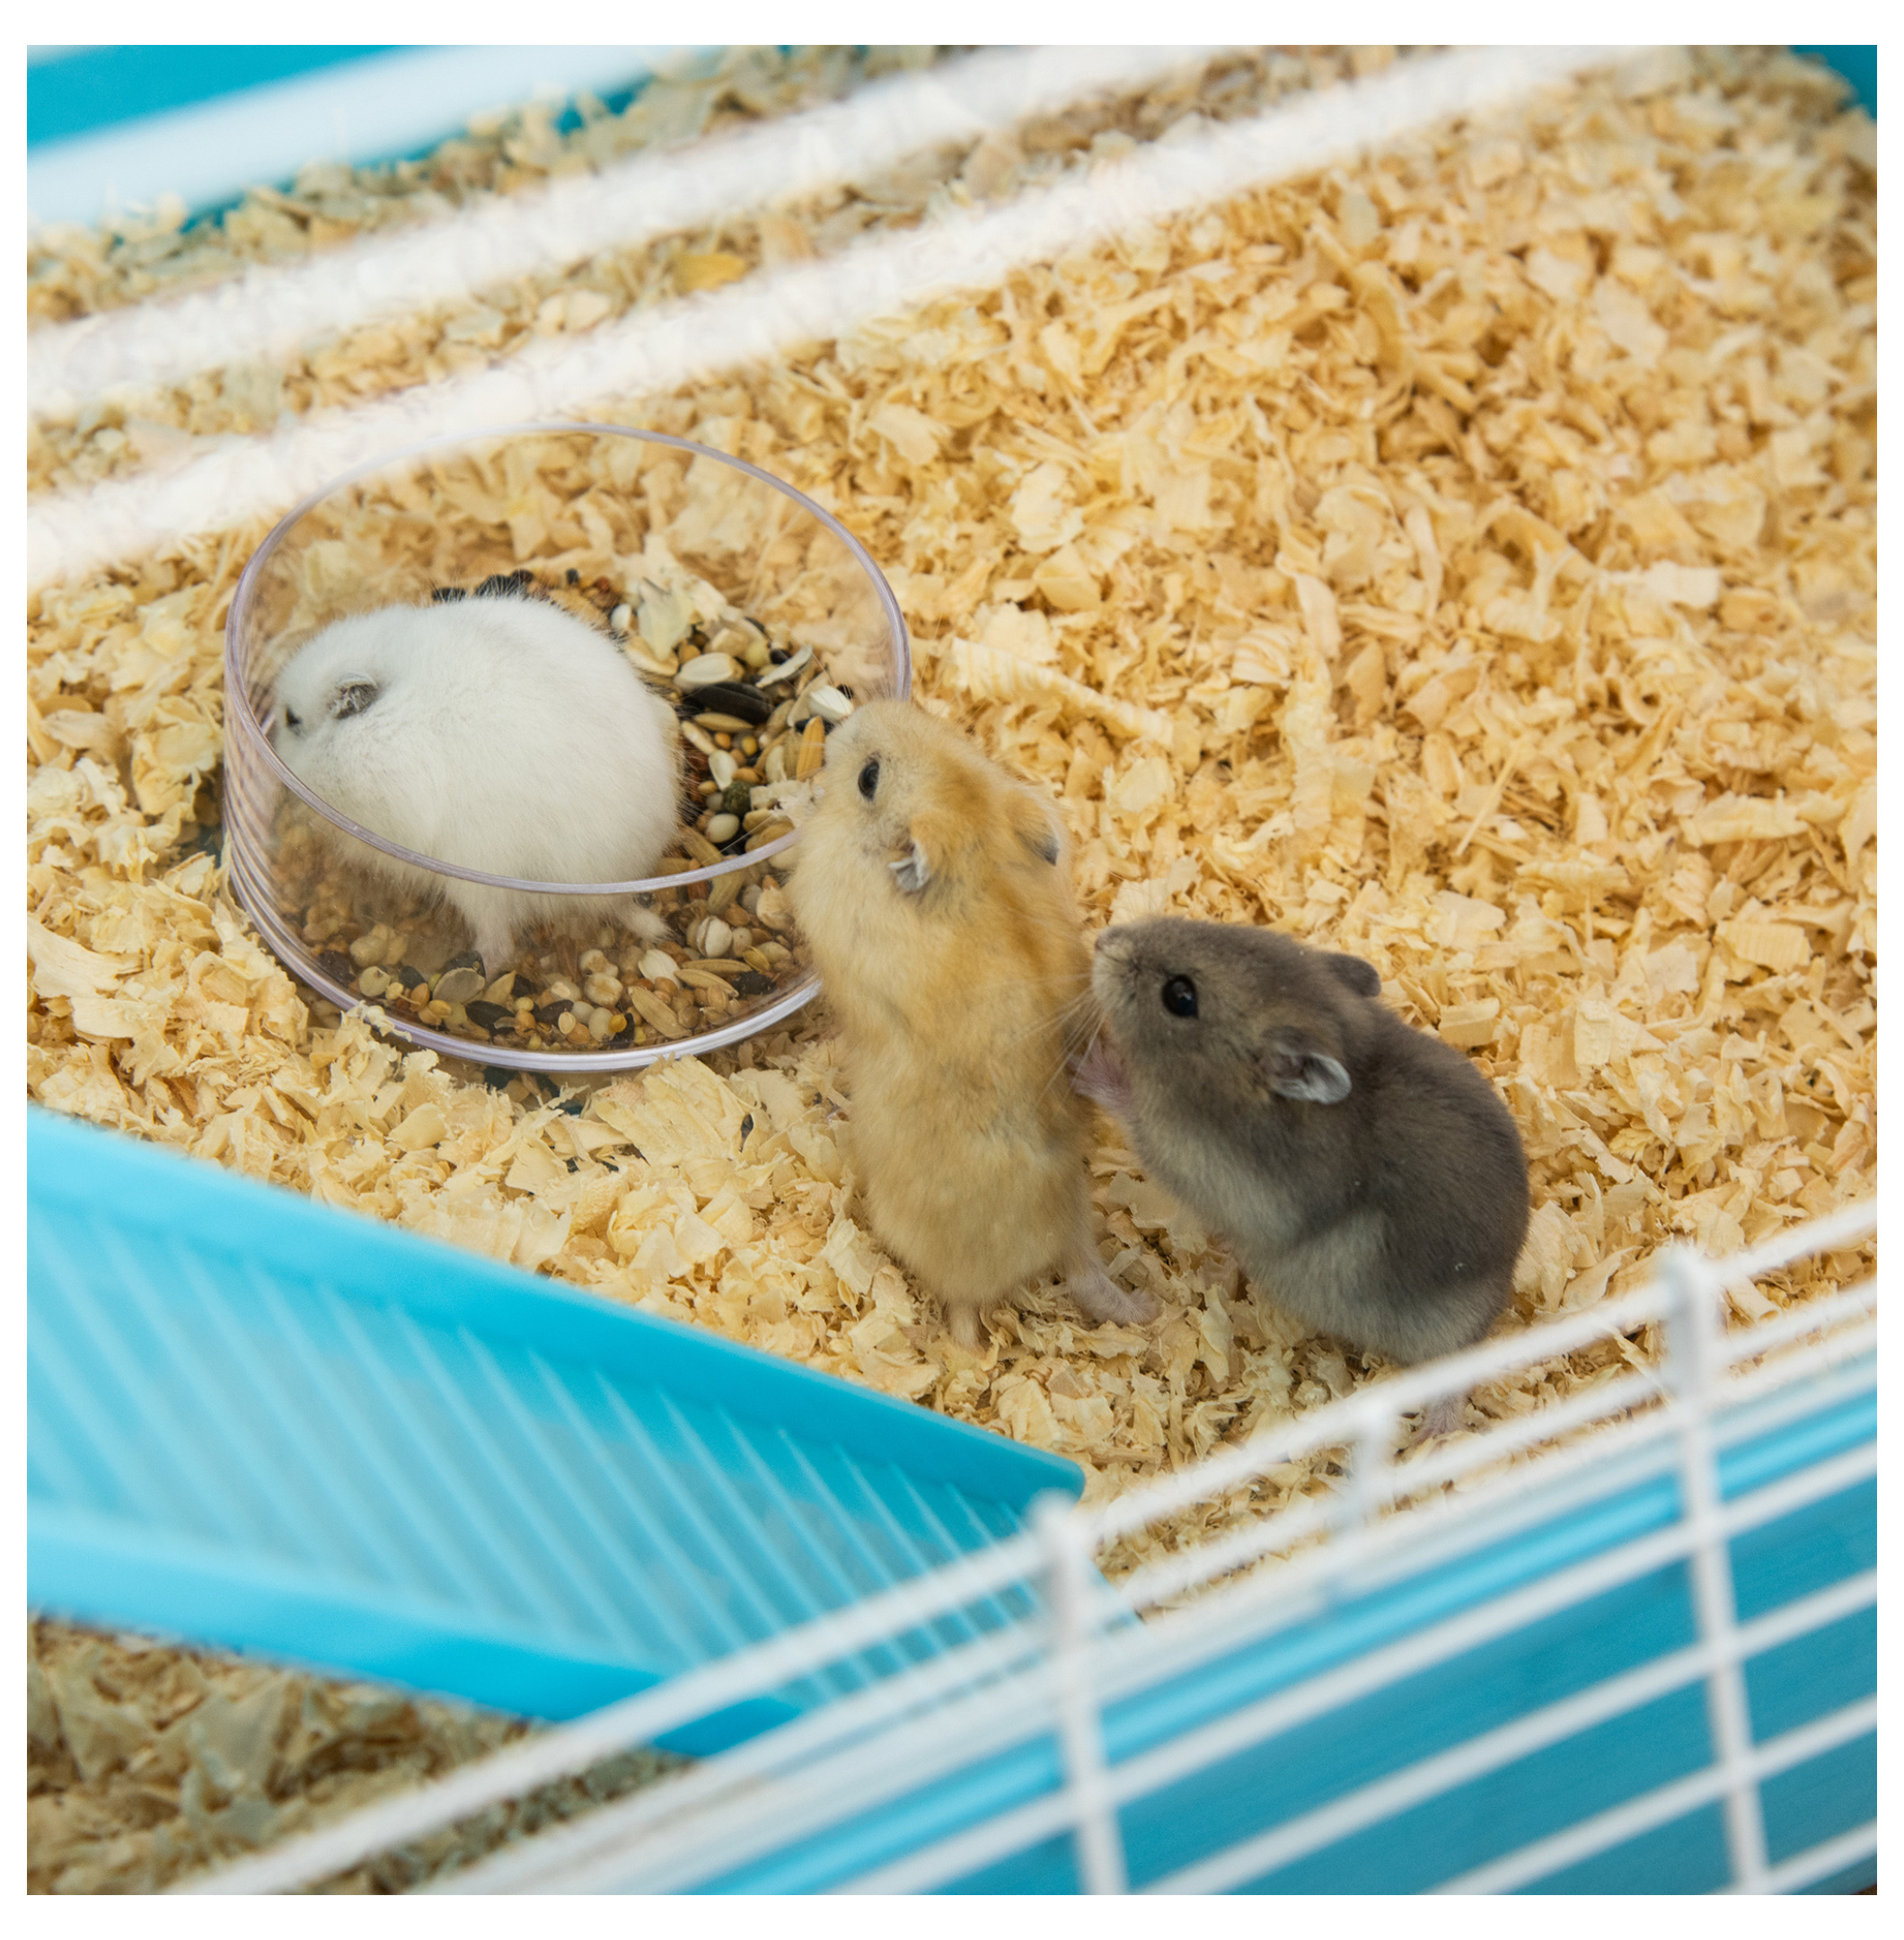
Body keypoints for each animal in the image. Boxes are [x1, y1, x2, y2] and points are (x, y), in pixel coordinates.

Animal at [789, 700, 1159, 1349]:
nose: (845, 719)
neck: (975, 844)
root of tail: (1067, 1228)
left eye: (869, 777)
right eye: (948, 730)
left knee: (964, 1319)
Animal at [1081, 917, 1529, 1426]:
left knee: (1454, 1374)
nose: (1102, 940)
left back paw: (1435, 1433)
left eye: (1180, 996)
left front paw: (1091, 1060)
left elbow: (1129, 1108)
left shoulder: (1186, 1158)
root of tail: (1500, 1298)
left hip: (1443, 1334)